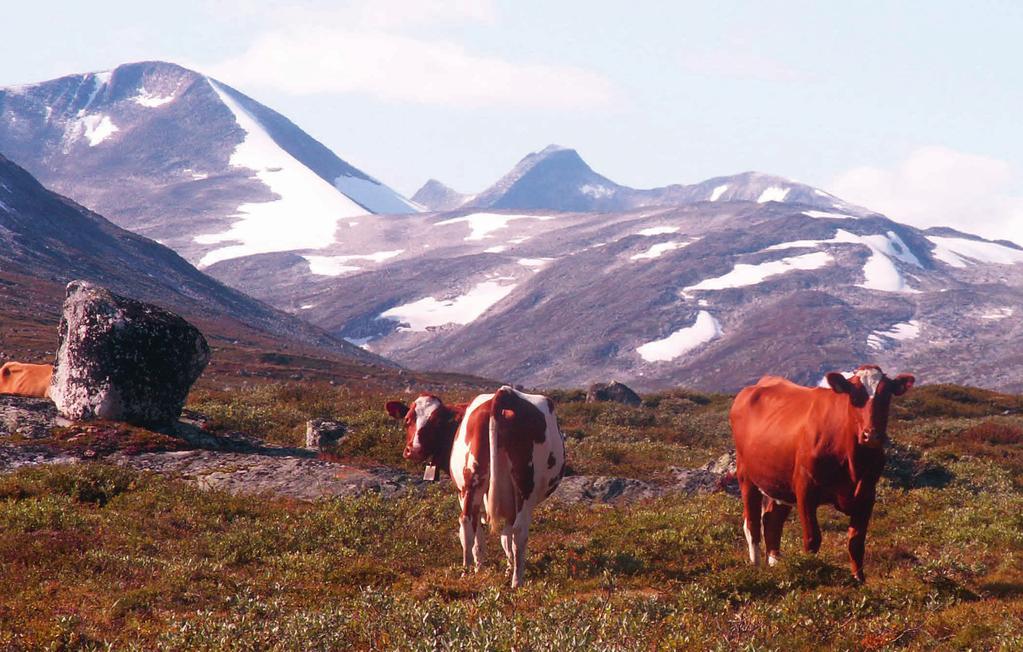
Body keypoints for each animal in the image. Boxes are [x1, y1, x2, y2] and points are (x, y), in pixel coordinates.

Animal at [384, 384, 568, 585]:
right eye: (407, 420)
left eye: (437, 422)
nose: (414, 450)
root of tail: (504, 394)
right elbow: (503, 536)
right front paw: (501, 569)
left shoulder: (462, 492)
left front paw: (482, 568)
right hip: (518, 486)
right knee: (513, 530)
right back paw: (514, 580)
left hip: (477, 483)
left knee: (469, 523)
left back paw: (473, 574)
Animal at [732, 364, 916, 581]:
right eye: (854, 396)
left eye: (886, 395)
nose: (871, 435)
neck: (853, 464)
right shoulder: (805, 489)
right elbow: (812, 539)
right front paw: (810, 572)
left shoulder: (867, 494)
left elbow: (856, 541)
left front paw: (858, 579)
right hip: (746, 476)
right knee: (751, 524)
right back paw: (756, 568)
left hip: (778, 482)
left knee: (771, 521)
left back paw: (775, 564)